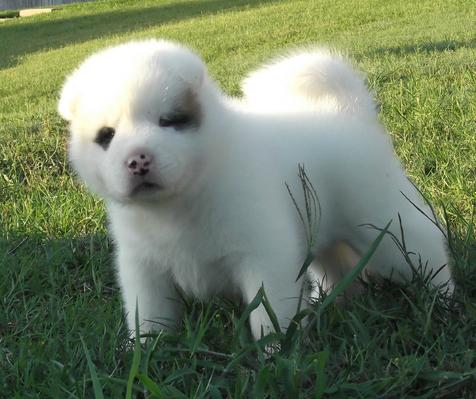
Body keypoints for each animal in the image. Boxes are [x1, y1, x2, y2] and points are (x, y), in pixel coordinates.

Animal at [57, 39, 452, 340]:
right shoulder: (144, 266)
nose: (138, 160)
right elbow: (150, 315)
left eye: (168, 121)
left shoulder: (264, 254)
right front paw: (146, 354)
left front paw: (275, 353)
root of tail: (347, 111)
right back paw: (326, 302)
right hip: (324, 231)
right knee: (336, 269)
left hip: (383, 224)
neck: (178, 204)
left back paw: (444, 299)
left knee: (423, 248)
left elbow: (268, 309)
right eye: (106, 136)